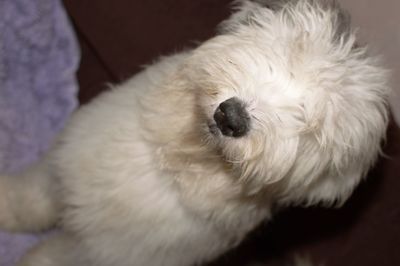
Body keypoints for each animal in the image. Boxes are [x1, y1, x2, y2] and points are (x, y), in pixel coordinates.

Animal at [0, 0, 388, 266]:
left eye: (313, 125)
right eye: (288, 51)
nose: (231, 117)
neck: (171, 163)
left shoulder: (96, 253)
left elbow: (49, 257)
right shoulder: (58, 170)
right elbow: (29, 198)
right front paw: (4, 203)